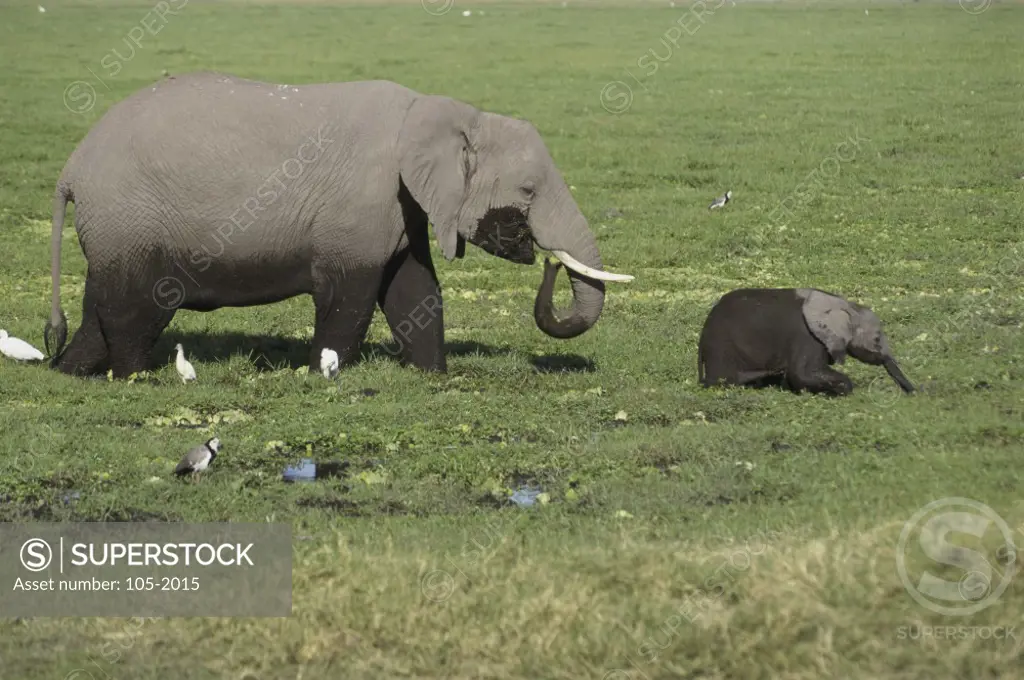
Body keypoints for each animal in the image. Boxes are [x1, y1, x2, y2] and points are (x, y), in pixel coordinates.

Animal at [46, 72, 630, 378]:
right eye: (528, 192)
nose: (548, 260)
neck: (442, 111)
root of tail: (70, 170)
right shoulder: (362, 204)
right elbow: (351, 296)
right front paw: (320, 375)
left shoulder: (402, 204)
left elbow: (414, 290)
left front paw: (432, 376)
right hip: (131, 220)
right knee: (137, 309)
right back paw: (135, 377)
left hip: (115, 230)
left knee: (100, 307)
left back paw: (70, 371)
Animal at [700, 288, 917, 395]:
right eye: (877, 338)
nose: (916, 392)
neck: (844, 306)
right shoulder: (807, 336)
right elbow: (801, 373)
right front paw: (842, 390)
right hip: (722, 350)